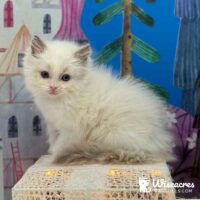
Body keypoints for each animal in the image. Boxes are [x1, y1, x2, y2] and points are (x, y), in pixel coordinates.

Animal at [23, 36, 173, 164]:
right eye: (45, 74)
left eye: (65, 78)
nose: (53, 87)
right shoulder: (53, 124)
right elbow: (54, 141)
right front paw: (50, 157)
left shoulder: (71, 130)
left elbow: (60, 145)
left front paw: (53, 157)